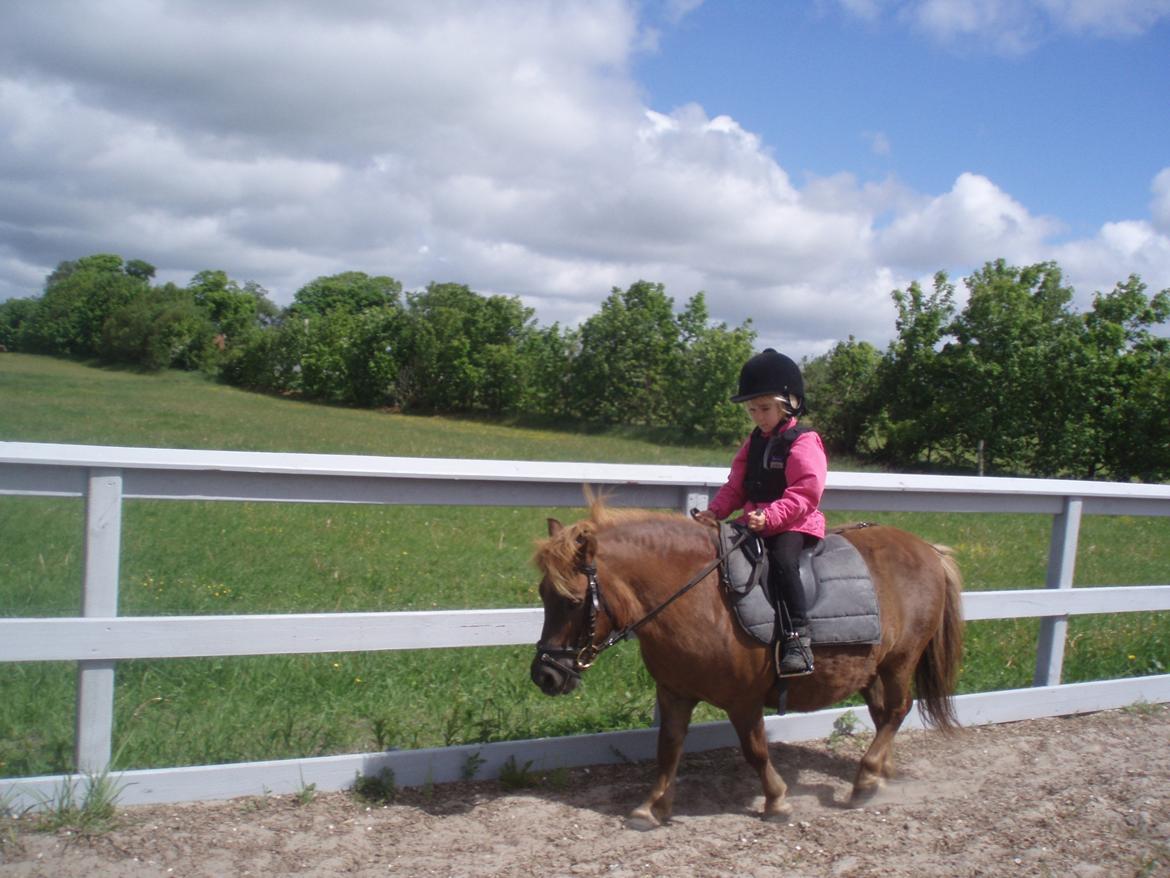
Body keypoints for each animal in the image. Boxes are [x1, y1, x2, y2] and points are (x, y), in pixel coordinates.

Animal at [531, 501, 959, 833]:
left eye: (573, 600)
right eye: (543, 593)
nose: (545, 675)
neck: (700, 598)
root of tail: (927, 549)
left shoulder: (743, 701)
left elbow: (755, 750)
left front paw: (777, 801)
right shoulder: (674, 693)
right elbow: (668, 748)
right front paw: (651, 807)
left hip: (900, 660)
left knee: (898, 710)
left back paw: (866, 779)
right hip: (870, 668)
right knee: (883, 713)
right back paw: (880, 775)